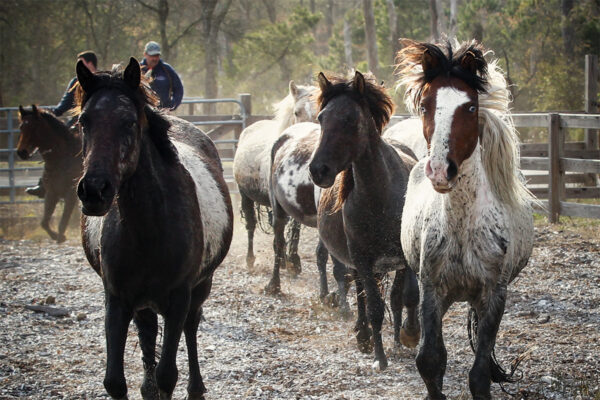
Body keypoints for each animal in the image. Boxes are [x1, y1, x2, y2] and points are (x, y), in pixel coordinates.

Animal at [17, 104, 82, 242]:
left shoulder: (71, 194)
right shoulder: (52, 193)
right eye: (21, 127)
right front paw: (56, 236)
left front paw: (61, 236)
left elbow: (63, 222)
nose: (22, 152)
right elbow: (44, 222)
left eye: (33, 127)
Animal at [310, 71, 422, 372]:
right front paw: (379, 357)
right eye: (321, 118)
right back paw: (363, 335)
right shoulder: (362, 257)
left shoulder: (403, 257)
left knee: (394, 298)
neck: (379, 196)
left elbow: (406, 297)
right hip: (361, 262)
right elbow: (373, 306)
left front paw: (409, 334)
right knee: (361, 292)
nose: (318, 170)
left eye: (351, 119)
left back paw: (396, 338)